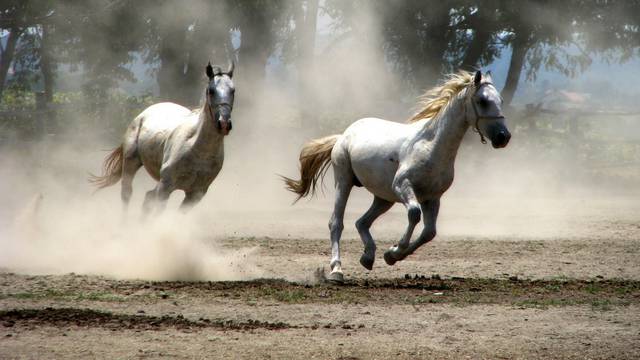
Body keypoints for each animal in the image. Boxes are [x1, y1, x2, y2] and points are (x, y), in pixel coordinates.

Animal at [91, 62, 236, 214]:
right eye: (211, 91)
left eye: (233, 91)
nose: (224, 123)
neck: (198, 150)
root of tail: (144, 113)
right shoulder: (166, 188)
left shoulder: (195, 194)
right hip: (131, 161)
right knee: (127, 193)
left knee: (148, 197)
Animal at [284, 70, 510, 282]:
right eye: (482, 101)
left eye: (500, 100)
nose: (503, 137)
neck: (431, 144)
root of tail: (344, 135)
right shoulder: (403, 186)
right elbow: (414, 214)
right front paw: (395, 250)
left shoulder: (432, 198)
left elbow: (429, 232)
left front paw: (391, 256)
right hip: (344, 181)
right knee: (336, 223)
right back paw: (336, 270)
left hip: (384, 198)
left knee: (362, 222)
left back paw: (368, 257)